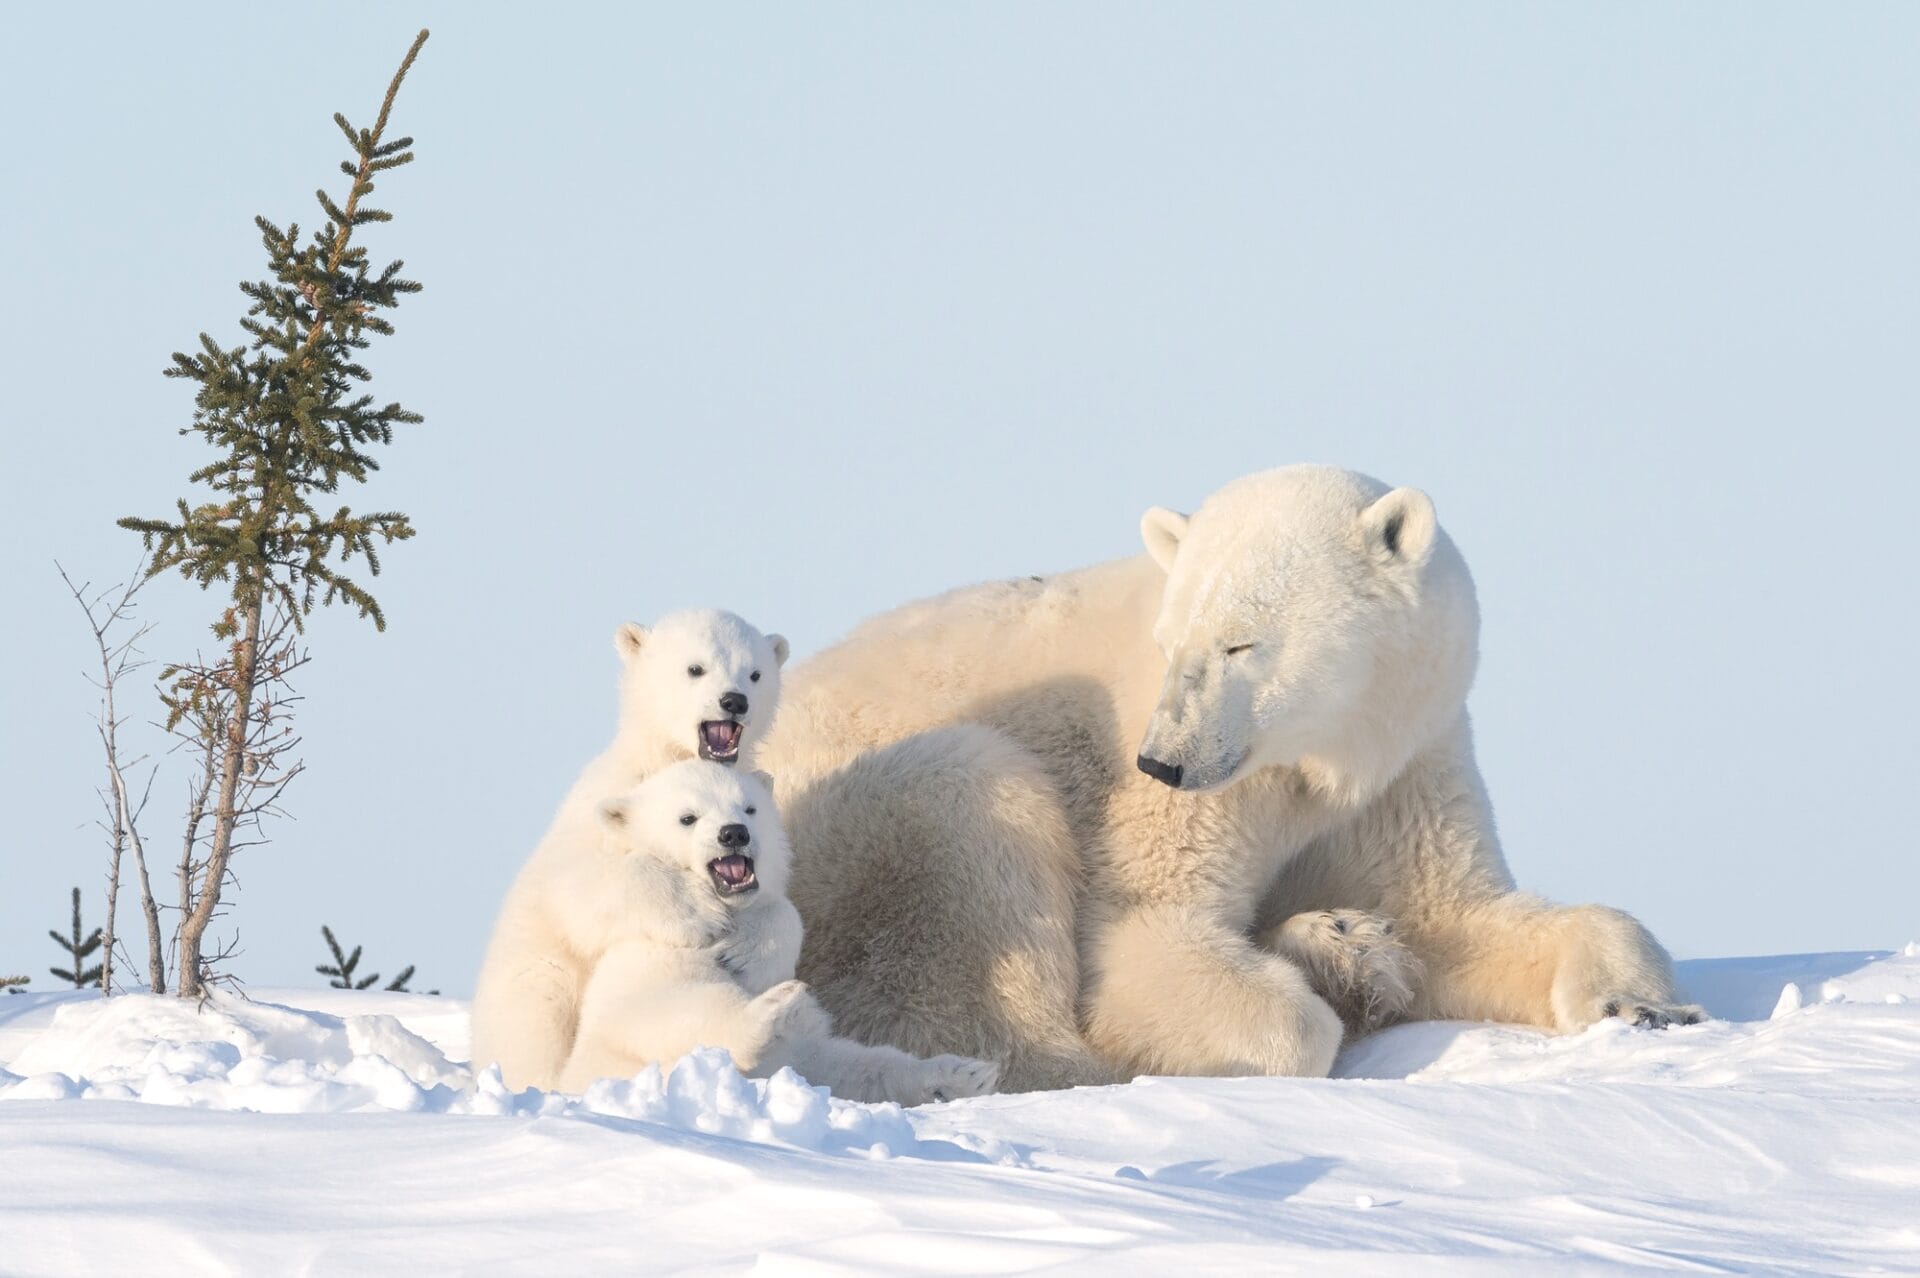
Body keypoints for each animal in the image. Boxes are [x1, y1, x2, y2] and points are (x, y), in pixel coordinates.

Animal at [756, 460, 1704, 1082]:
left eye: (1241, 643)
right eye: (1173, 643)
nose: (1161, 760)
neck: (1316, 756)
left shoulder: (1406, 760)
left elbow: (1457, 916)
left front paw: (1643, 1005)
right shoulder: (1183, 802)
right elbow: (1141, 943)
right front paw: (1313, 998)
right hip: (837, 848)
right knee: (965, 819)